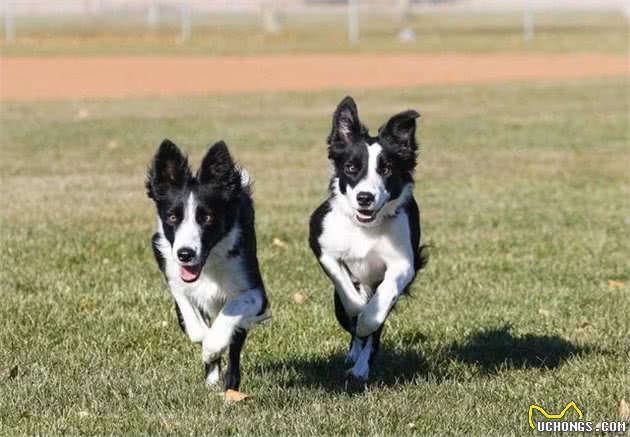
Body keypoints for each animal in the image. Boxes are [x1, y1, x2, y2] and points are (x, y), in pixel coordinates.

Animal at [147, 139, 268, 388]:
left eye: (207, 217)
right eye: (172, 217)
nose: (185, 254)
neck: (209, 264)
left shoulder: (256, 292)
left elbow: (233, 309)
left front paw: (212, 346)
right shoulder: (172, 275)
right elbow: (193, 322)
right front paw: (206, 344)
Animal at [312, 96, 430, 382]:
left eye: (386, 169)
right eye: (351, 167)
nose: (365, 197)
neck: (366, 228)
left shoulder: (404, 262)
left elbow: (383, 299)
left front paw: (367, 321)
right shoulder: (322, 244)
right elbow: (347, 289)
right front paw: (358, 309)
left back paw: (360, 368)